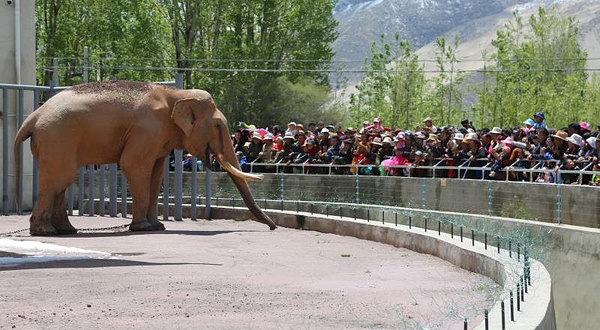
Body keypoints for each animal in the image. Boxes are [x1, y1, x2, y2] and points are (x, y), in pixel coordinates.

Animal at [14, 79, 276, 235]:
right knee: (58, 179)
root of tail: (33, 117)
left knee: (61, 181)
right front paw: (142, 228)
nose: (273, 227)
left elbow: (156, 174)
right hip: (57, 137)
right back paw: (45, 232)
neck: (175, 94)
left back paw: (67, 230)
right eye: (218, 126)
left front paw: (158, 226)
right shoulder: (146, 130)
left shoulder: (158, 138)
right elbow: (133, 165)